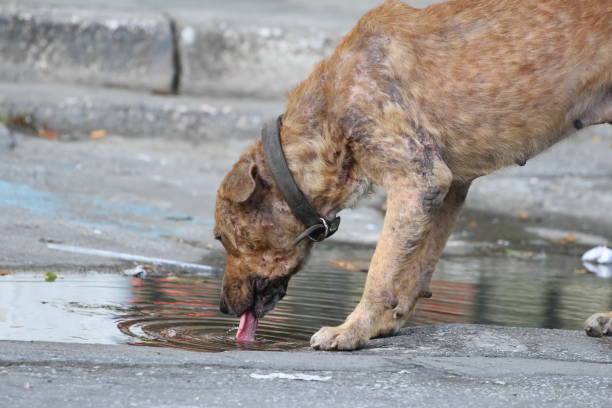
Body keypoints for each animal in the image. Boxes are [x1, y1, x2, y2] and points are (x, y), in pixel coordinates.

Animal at [214, 0, 612, 350]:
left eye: (220, 237)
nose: (222, 308)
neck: (332, 111)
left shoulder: (418, 180)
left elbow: (380, 270)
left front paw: (352, 331)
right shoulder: (449, 188)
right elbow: (417, 266)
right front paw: (383, 323)